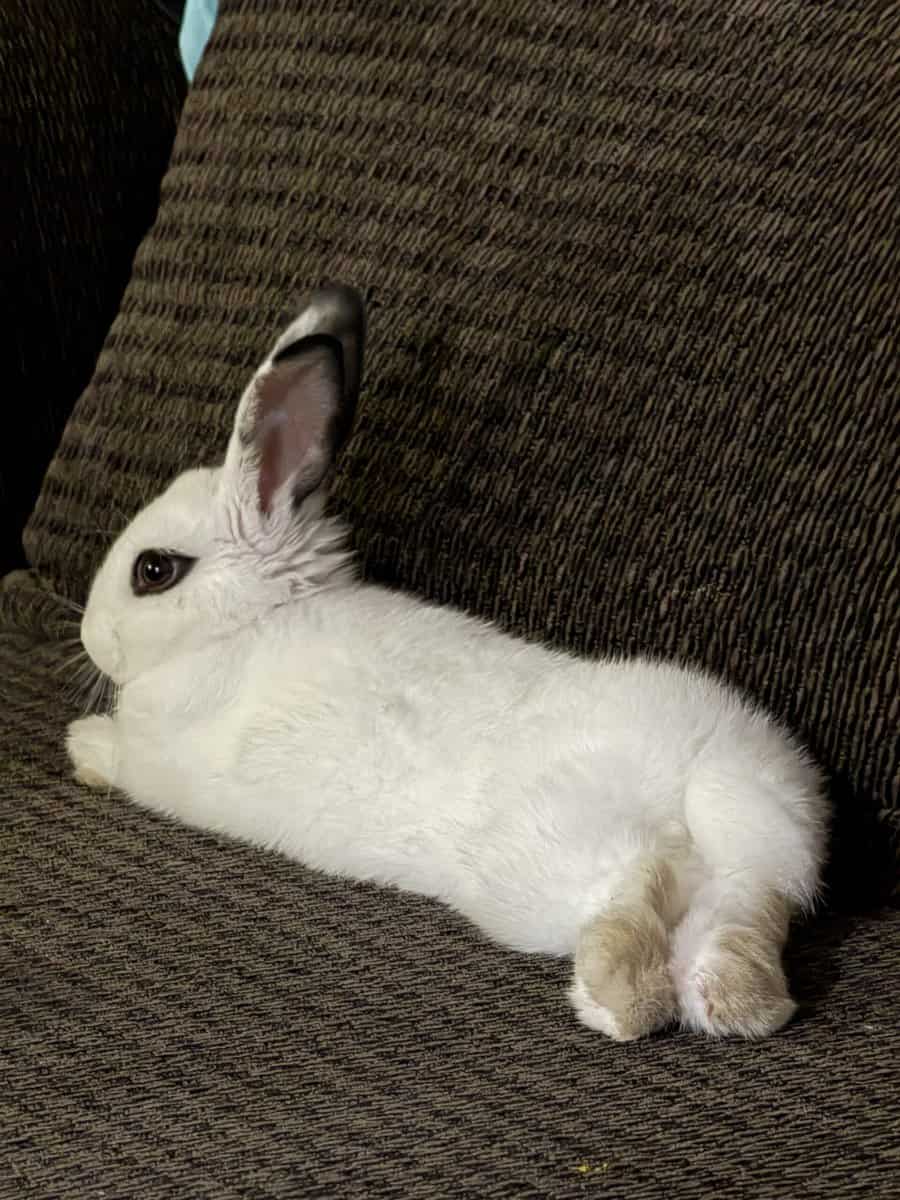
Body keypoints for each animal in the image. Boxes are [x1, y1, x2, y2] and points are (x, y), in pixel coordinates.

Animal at [67, 284, 829, 1042]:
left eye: (154, 571)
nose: (90, 635)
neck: (243, 624)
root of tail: (700, 777)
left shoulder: (155, 759)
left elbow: (119, 757)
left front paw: (82, 748)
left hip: (539, 868)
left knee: (642, 885)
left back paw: (612, 1000)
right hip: (757, 851)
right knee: (742, 916)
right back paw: (733, 997)